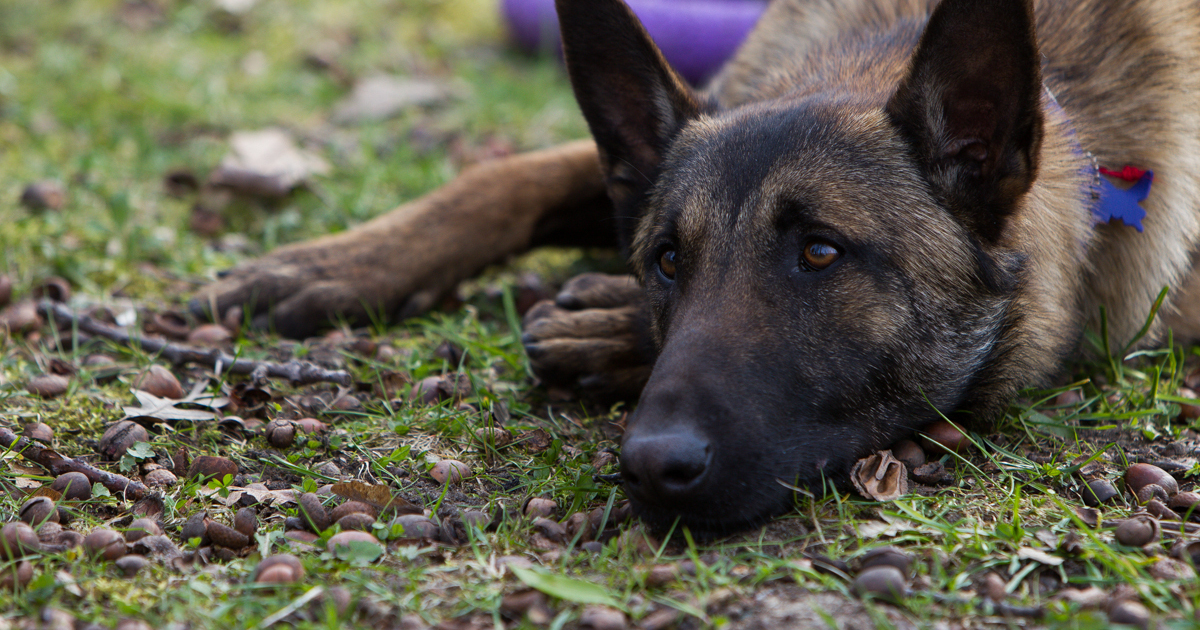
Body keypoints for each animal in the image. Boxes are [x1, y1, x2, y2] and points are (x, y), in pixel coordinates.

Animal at [194, 0, 1200, 535]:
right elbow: (501, 177)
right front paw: (336, 261)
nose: (650, 468)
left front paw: (604, 327)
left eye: (821, 252)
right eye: (668, 259)